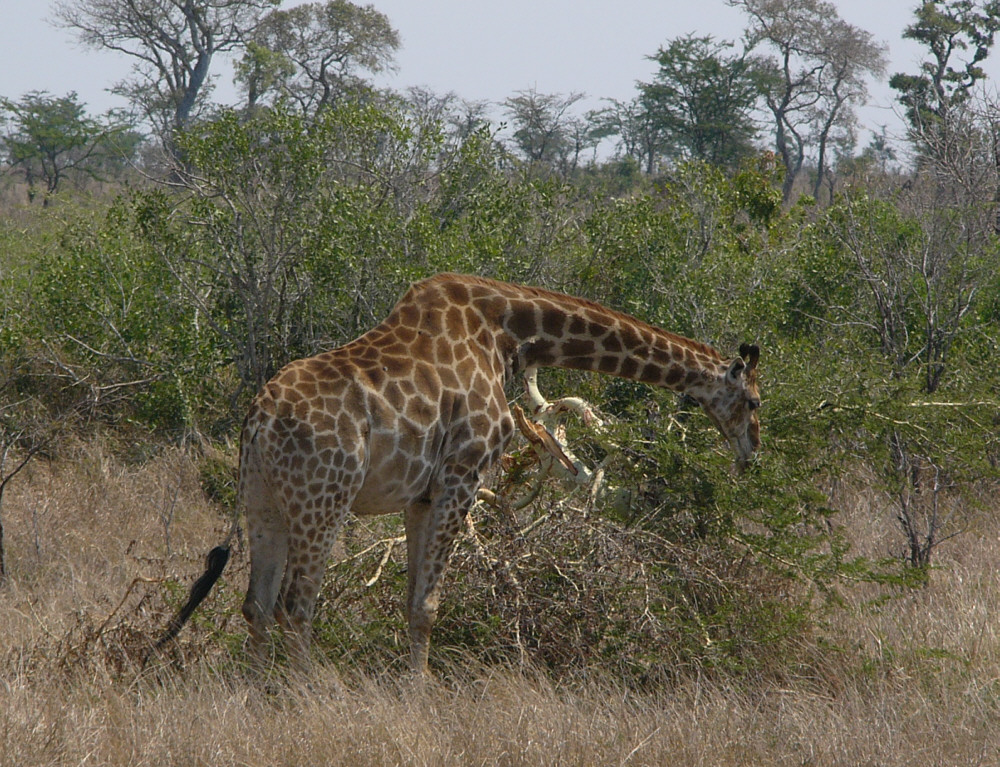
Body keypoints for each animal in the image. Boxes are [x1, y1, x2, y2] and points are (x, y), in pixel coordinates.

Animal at [156, 272, 760, 676]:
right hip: (324, 500)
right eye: (754, 401)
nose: (750, 455)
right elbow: (429, 605)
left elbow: (411, 601)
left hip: (263, 502)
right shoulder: (462, 477)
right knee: (295, 606)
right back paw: (307, 698)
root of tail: (257, 420)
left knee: (256, 605)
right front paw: (417, 697)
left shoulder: (419, 495)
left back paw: (260, 696)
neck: (509, 334)